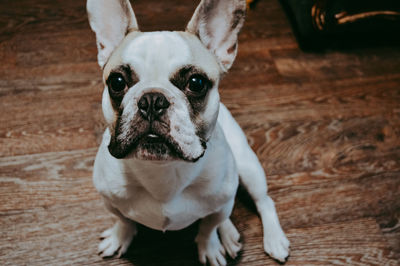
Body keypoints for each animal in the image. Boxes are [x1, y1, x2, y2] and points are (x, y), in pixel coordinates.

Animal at [87, 0, 290, 264]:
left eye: (196, 83)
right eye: (117, 82)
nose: (152, 100)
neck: (161, 172)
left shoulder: (219, 206)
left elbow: (208, 228)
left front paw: (210, 248)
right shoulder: (110, 201)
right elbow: (123, 219)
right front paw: (119, 237)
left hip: (248, 167)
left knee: (263, 201)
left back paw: (272, 239)